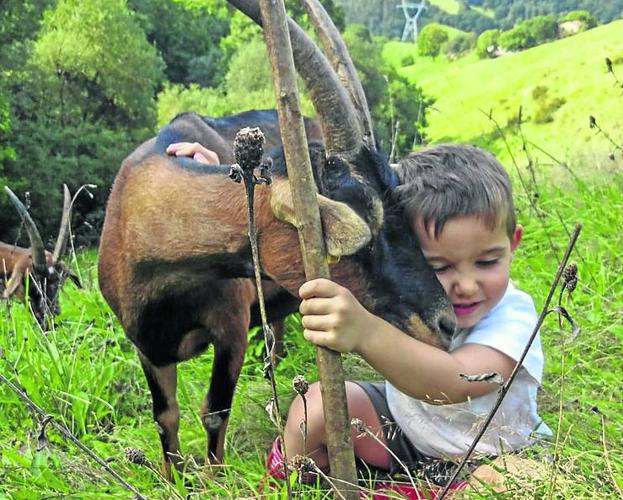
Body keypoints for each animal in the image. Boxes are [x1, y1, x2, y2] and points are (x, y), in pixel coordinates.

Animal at [98, 0, 458, 476]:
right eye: (367, 221)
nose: (446, 325)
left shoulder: (229, 329)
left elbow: (214, 412)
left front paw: (214, 480)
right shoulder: (147, 345)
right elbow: (165, 417)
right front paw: (177, 480)